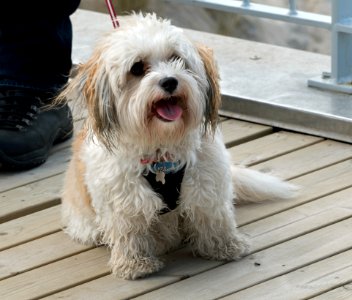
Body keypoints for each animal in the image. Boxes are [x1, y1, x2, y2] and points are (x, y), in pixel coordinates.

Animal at [57, 12, 296, 280]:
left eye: (175, 58)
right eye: (137, 68)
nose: (170, 81)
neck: (162, 150)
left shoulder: (206, 183)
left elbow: (214, 217)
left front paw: (226, 246)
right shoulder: (124, 199)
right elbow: (129, 232)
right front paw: (135, 264)